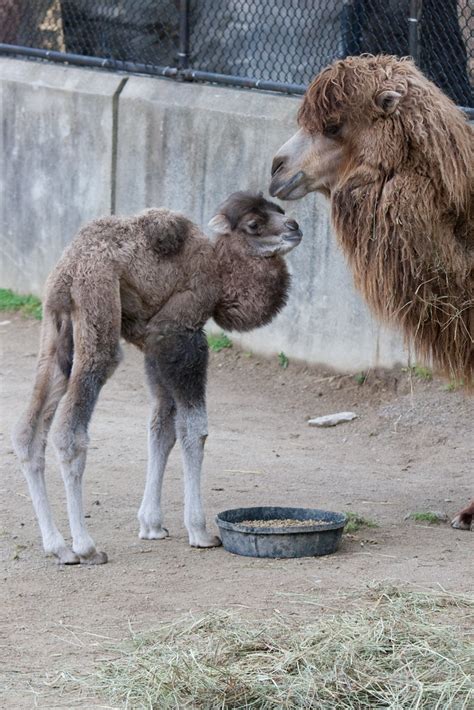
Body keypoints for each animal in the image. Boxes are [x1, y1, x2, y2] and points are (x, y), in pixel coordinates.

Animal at [13, 192, 304, 564]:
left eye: (277, 209)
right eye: (254, 224)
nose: (294, 226)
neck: (220, 275)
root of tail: (67, 271)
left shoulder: (154, 347)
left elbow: (161, 429)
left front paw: (151, 525)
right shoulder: (180, 332)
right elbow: (194, 429)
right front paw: (199, 531)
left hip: (55, 333)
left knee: (29, 431)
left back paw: (58, 547)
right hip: (98, 308)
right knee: (70, 433)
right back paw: (86, 547)